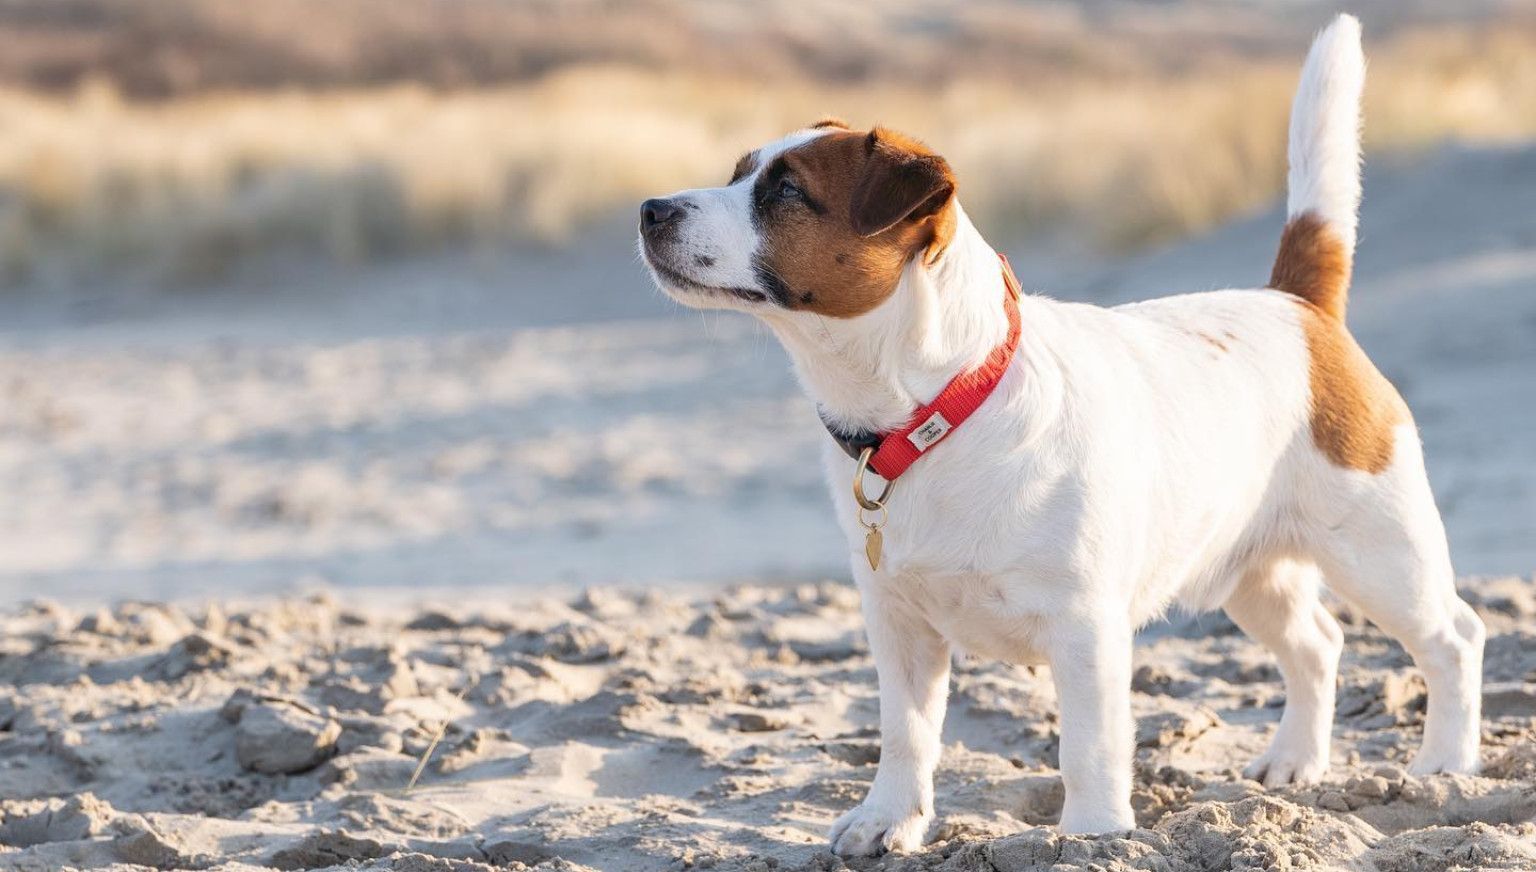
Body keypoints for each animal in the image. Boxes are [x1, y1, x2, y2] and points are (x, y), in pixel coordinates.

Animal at [638, 13, 1486, 859]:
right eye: (739, 171)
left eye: (785, 191)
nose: (649, 209)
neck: (938, 410)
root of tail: (1299, 306)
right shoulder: (898, 625)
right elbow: (906, 735)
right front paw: (888, 819)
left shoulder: (1086, 629)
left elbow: (1089, 744)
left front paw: (1094, 834)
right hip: (1250, 570)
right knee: (1318, 645)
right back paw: (1294, 761)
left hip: (1380, 554)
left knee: (1454, 636)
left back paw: (1444, 763)